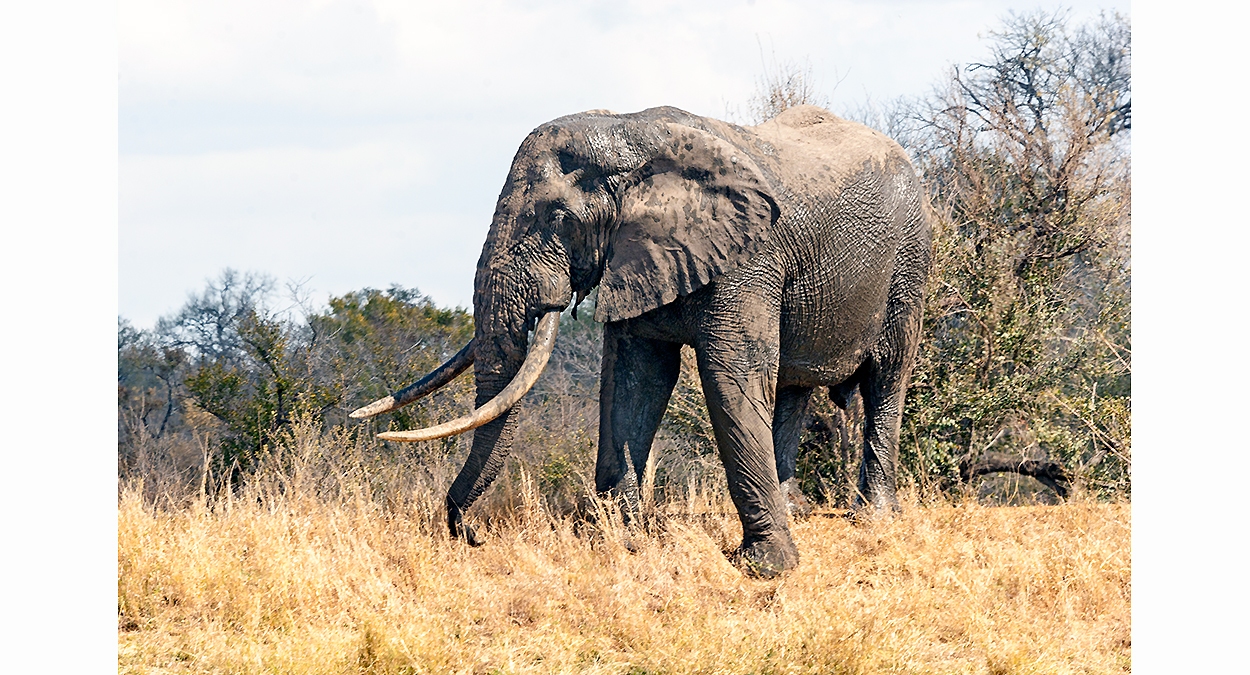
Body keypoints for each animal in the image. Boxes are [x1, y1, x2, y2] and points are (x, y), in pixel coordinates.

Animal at [351, 104, 932, 578]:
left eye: (559, 218)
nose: (469, 535)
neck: (631, 129)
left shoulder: (748, 258)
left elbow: (731, 377)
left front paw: (767, 569)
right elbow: (635, 380)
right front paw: (620, 540)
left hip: (910, 260)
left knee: (886, 376)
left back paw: (874, 517)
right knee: (793, 386)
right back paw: (798, 509)